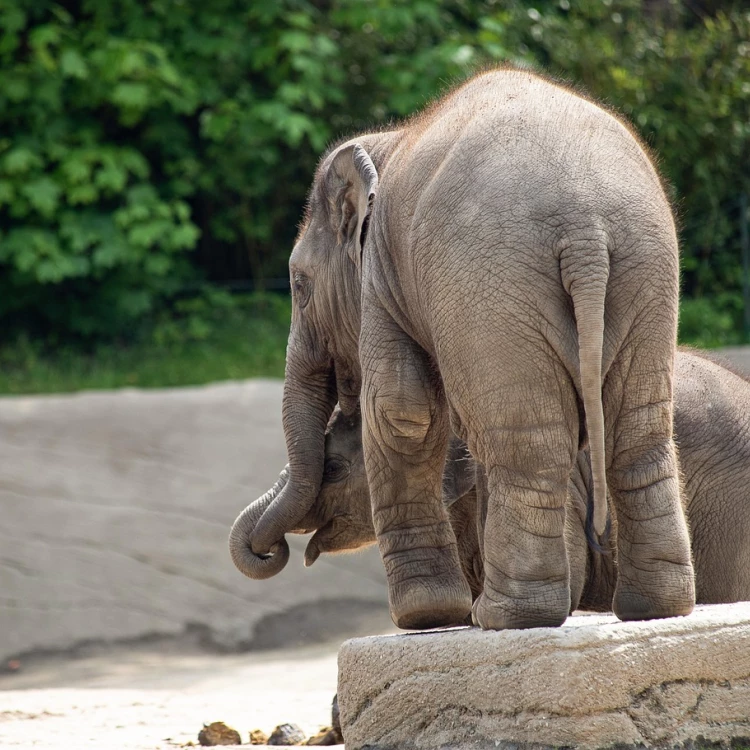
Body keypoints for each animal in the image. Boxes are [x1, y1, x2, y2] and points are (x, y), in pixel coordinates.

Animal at [228, 67, 692, 632]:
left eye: (298, 284)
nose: (271, 552)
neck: (389, 140)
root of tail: (586, 230)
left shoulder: (382, 275)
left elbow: (403, 411)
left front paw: (425, 616)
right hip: (645, 271)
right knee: (637, 428)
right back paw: (653, 609)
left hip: (493, 285)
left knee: (526, 438)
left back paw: (505, 615)